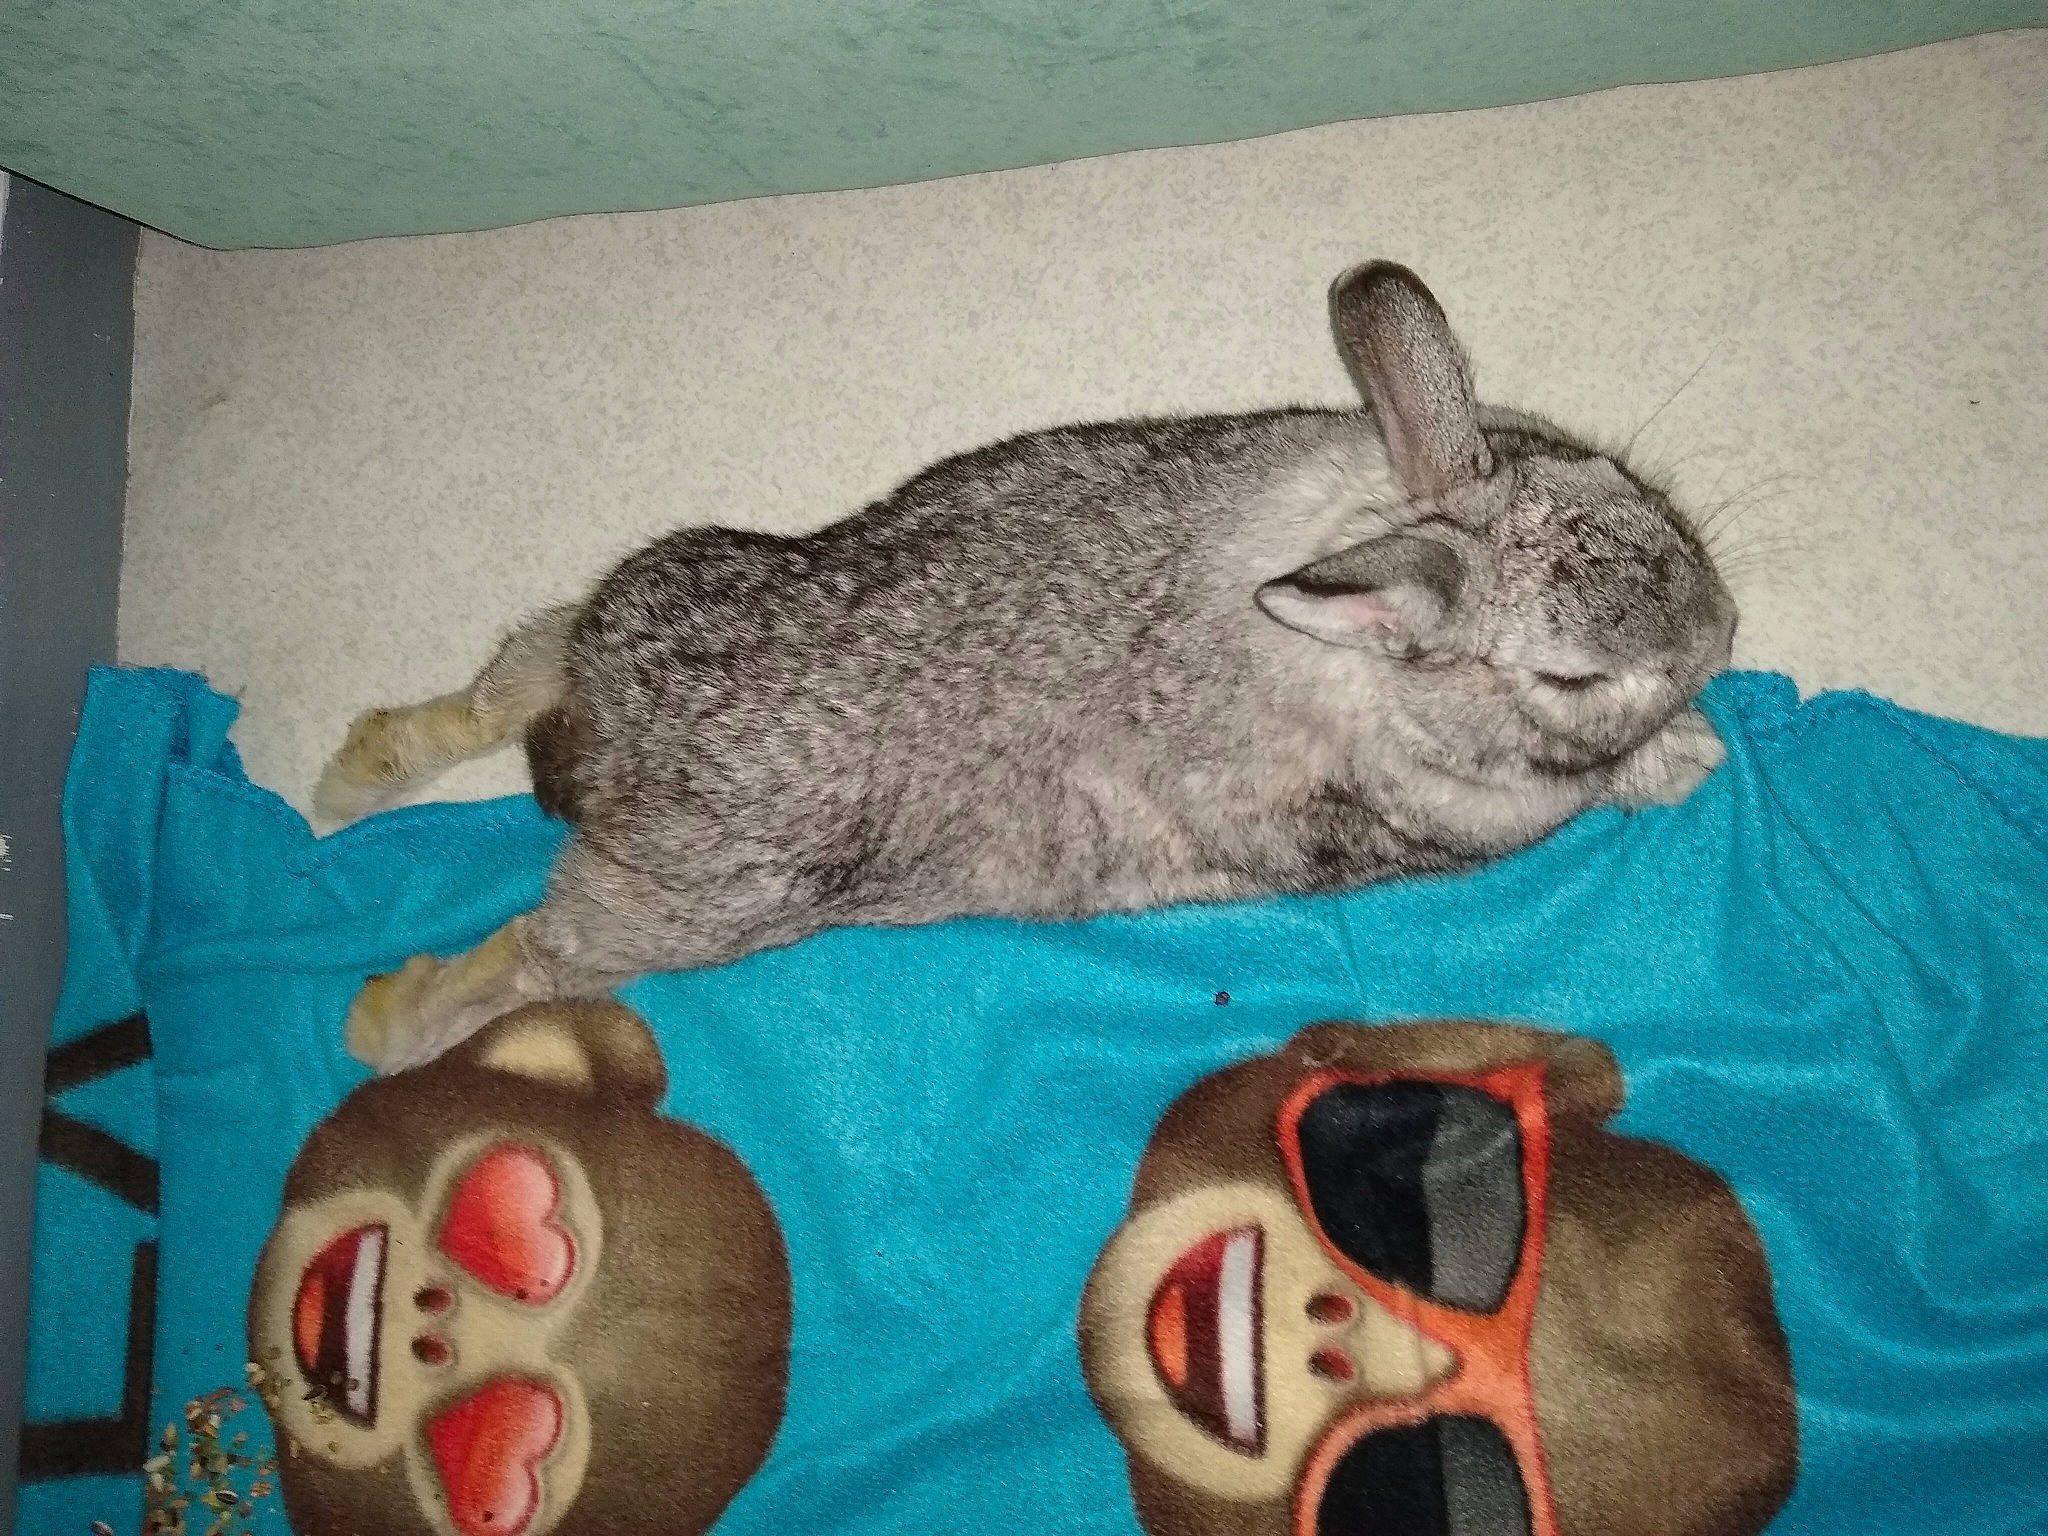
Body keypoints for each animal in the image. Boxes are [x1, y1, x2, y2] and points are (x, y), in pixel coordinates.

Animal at [322, 261, 1736, 1074]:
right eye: (1567, 679)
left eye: (1622, 484)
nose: (1720, 632)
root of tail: (615, 760)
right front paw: (1689, 756)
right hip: (682, 911)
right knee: (533, 958)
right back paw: (378, 1020)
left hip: (648, 589)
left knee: (506, 678)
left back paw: (352, 776)